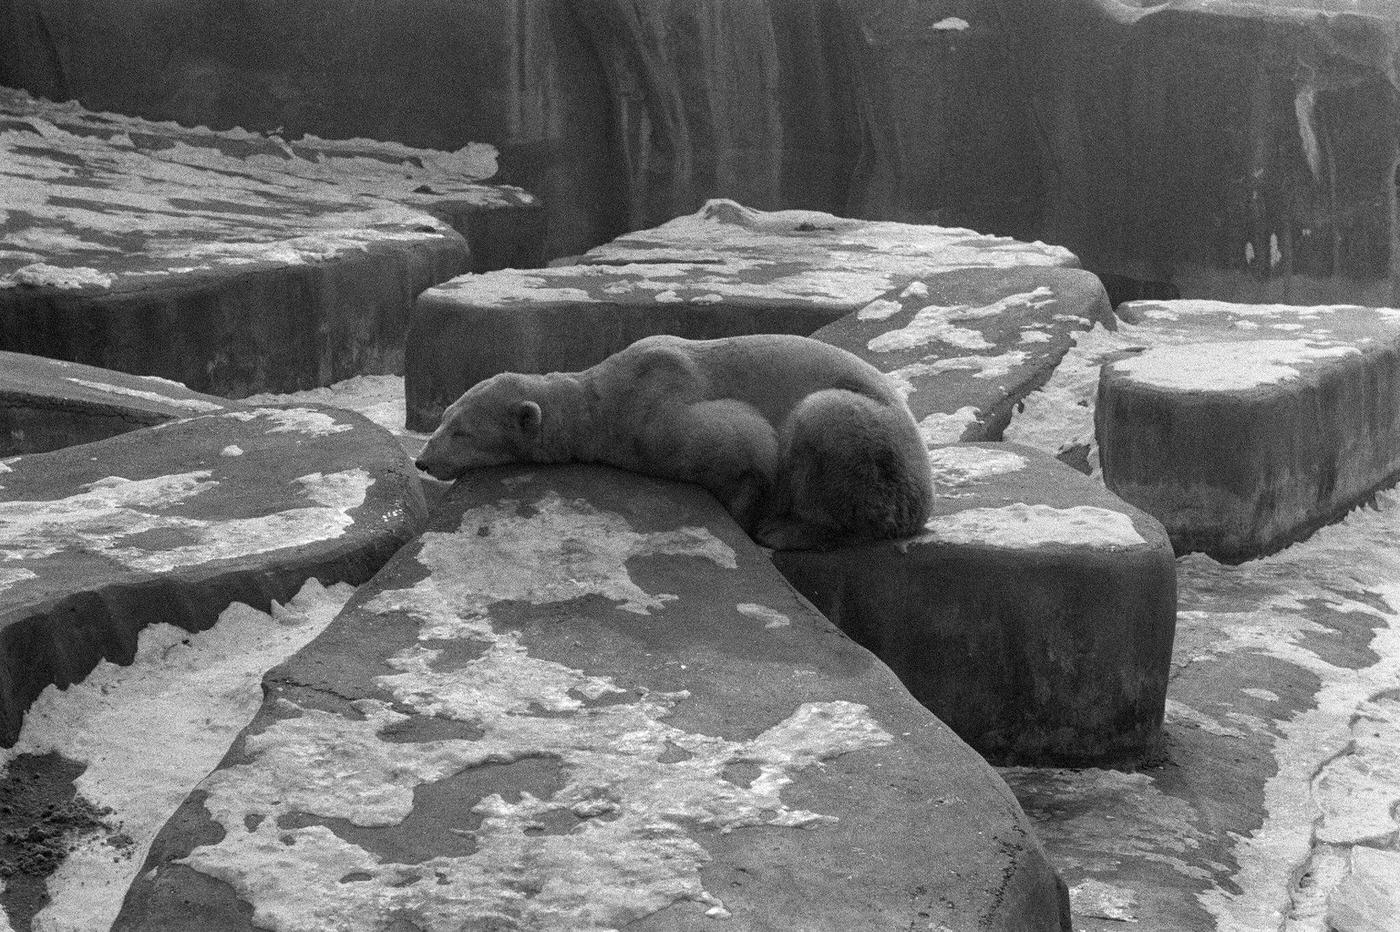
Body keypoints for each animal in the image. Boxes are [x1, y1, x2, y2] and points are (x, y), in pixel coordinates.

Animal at [417, 334, 940, 551]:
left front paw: (749, 514)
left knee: (824, 417)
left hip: (879, 446)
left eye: (461, 431)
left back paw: (789, 531)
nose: (422, 460)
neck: (602, 402)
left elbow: (753, 444)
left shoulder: (660, 410)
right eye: (442, 418)